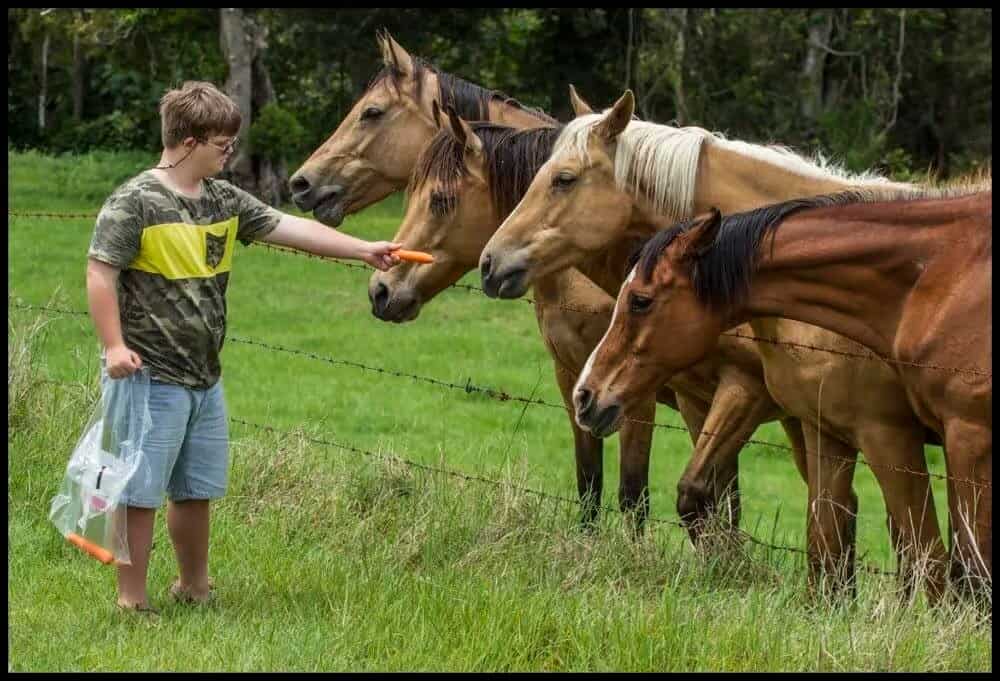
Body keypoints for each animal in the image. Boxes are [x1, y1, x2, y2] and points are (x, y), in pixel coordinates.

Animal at [574, 185, 991, 600]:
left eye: (640, 300)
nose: (585, 396)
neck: (939, 276)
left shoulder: (920, 438)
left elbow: (942, 564)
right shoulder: (828, 433)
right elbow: (827, 542)